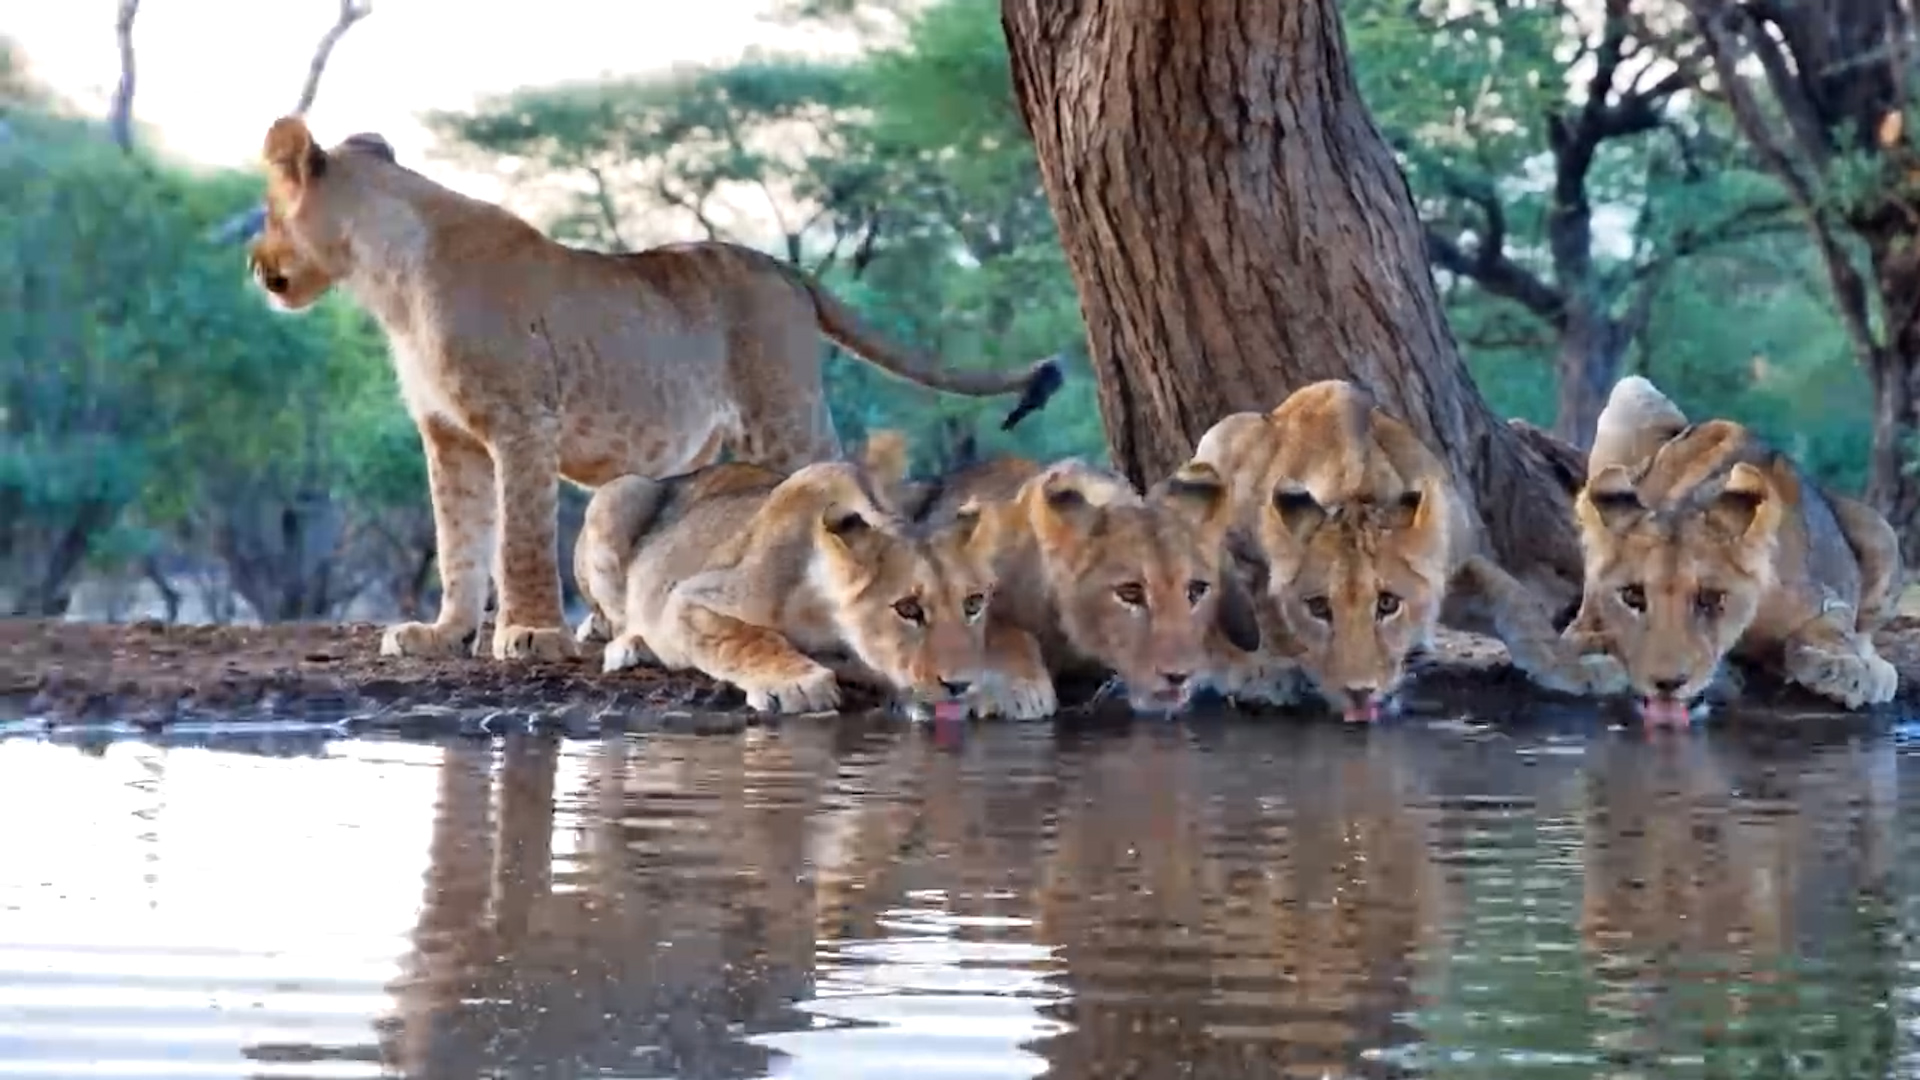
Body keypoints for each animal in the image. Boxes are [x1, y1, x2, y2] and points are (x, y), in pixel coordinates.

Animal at [248, 116, 1062, 665]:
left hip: (781, 411)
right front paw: (442, 633)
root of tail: (783, 267)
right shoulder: (447, 437)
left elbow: (517, 538)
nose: (255, 264)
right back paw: (608, 623)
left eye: (267, 211)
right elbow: (458, 540)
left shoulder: (522, 422)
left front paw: (529, 634)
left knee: (837, 480)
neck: (386, 279)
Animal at [571, 460, 1009, 717]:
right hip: (617, 494)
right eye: (908, 609)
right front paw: (798, 684)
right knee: (615, 620)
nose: (960, 685)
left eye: (974, 603)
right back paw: (632, 646)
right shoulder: (688, 598)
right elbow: (743, 637)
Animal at [878, 438, 1266, 715]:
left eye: (1196, 591)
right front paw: (1021, 687)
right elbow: (999, 627)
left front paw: (1249, 664)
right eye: (1130, 593)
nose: (1179, 676)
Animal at [1188, 379, 1627, 722]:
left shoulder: (1452, 565)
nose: (1359, 692)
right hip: (1220, 437)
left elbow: (1518, 602)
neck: (1353, 488)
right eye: (1318, 607)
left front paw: (1577, 669)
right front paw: (1262, 672)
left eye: (1387, 604)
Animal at [1565, 375, 1902, 723]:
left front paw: (1842, 670)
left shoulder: (1824, 597)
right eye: (1633, 596)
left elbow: (1833, 628)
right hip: (1631, 392)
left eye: (1711, 598)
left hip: (1882, 533)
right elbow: (1581, 636)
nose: (1667, 683)